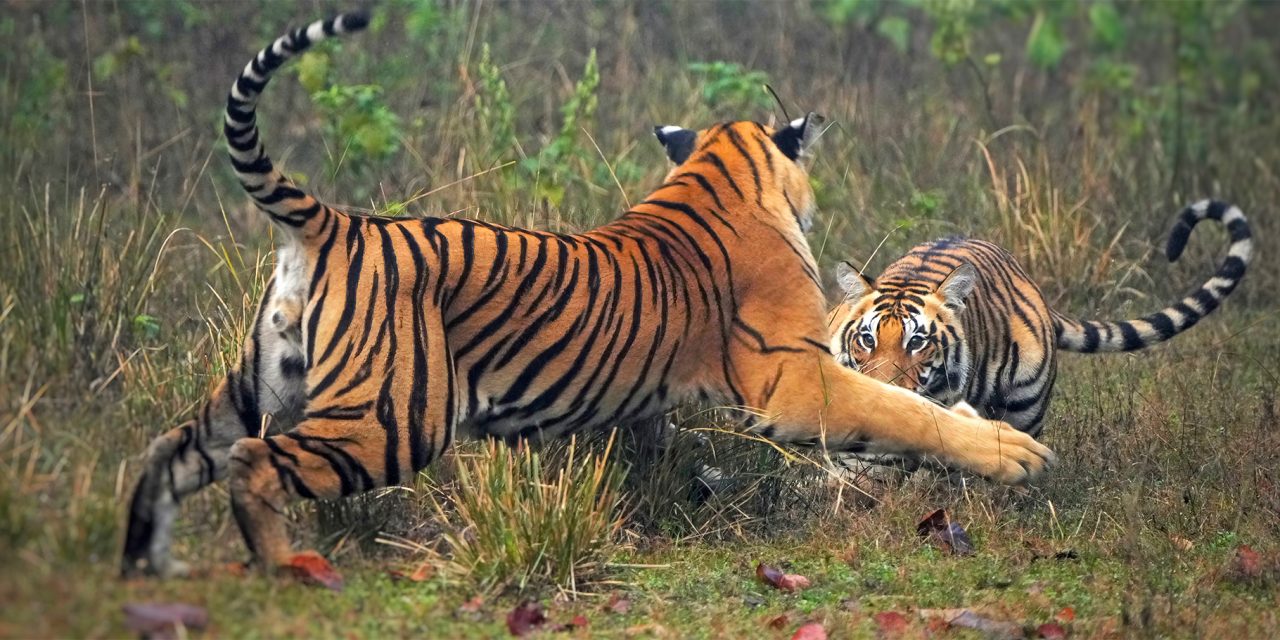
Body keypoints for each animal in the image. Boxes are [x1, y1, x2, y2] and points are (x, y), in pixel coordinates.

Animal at [121, 12, 1053, 584]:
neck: (722, 171)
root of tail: (337, 222)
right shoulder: (797, 378)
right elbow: (901, 410)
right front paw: (1010, 453)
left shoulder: (659, 397)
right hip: (389, 416)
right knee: (253, 462)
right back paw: (285, 569)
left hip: (259, 379)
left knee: (170, 453)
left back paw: (149, 564)